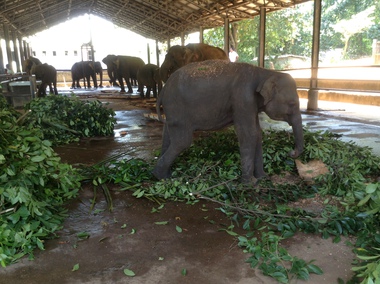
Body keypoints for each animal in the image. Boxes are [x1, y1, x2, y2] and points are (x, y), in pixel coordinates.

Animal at [153, 60, 304, 183]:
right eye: (292, 104)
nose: (291, 153)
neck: (265, 72)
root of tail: (164, 88)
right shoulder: (243, 98)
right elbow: (248, 134)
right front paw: (250, 183)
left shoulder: (251, 104)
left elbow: (257, 133)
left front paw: (263, 178)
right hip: (177, 108)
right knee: (182, 141)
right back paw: (162, 177)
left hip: (172, 110)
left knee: (168, 136)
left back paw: (164, 175)